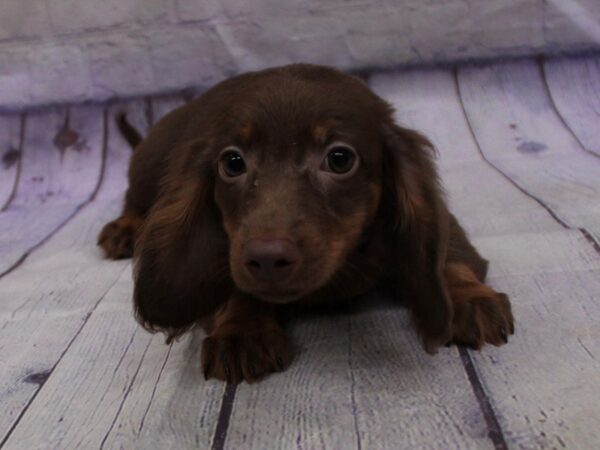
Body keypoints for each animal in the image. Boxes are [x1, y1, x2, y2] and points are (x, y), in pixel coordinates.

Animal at [97, 63, 510, 384]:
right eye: (232, 163)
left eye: (340, 158)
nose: (266, 259)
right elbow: (232, 284)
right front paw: (240, 329)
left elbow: (447, 256)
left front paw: (468, 297)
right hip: (147, 169)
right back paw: (125, 228)